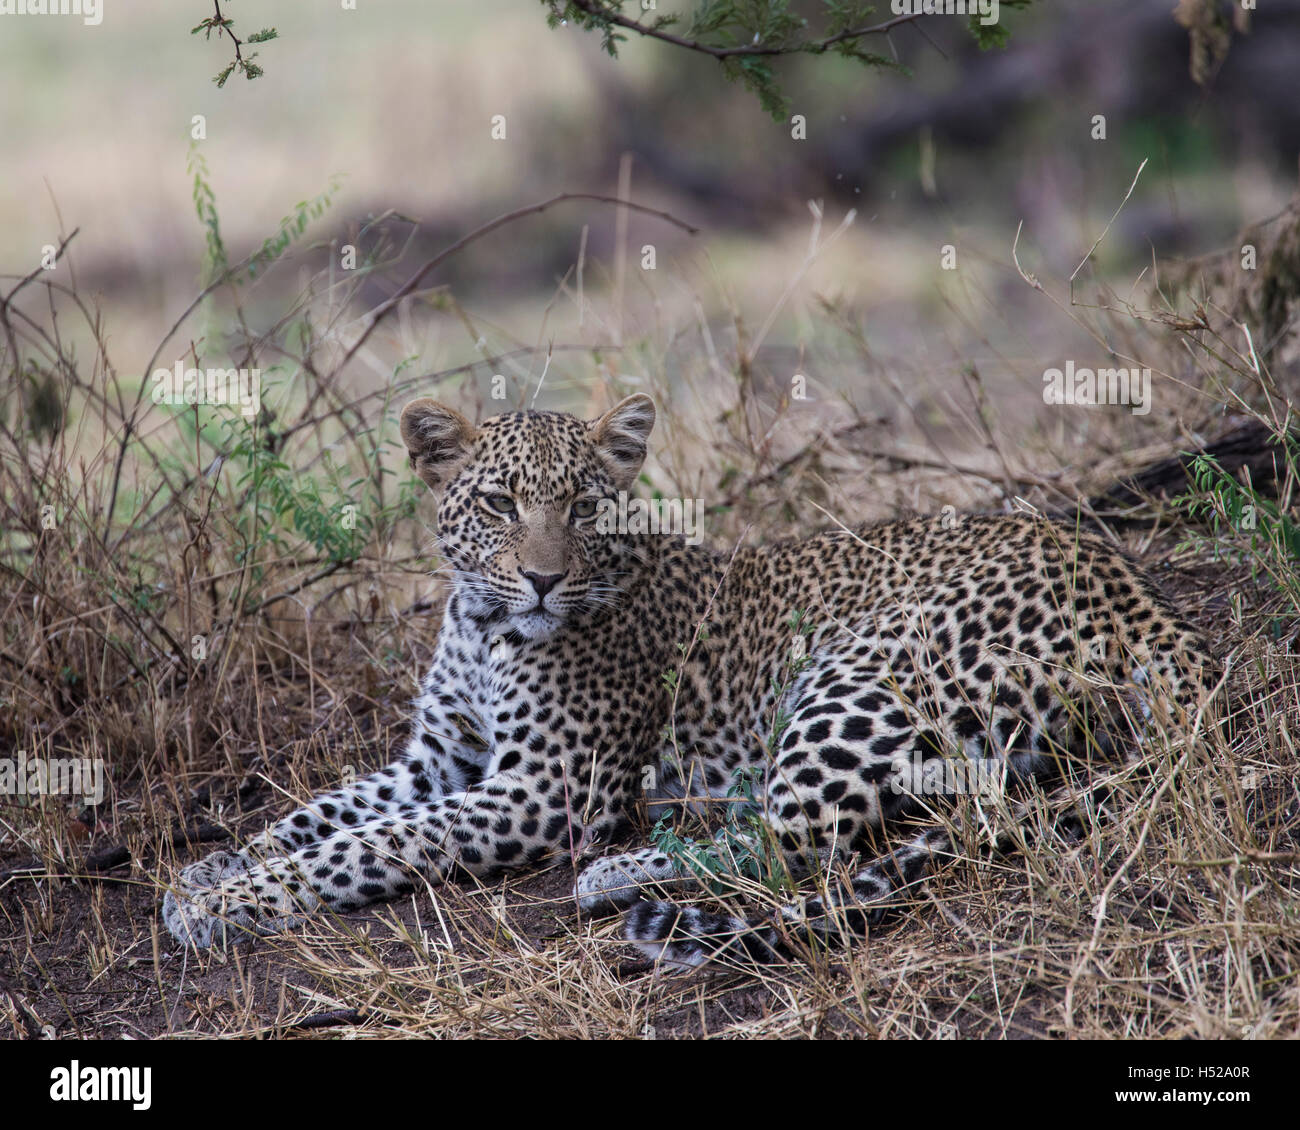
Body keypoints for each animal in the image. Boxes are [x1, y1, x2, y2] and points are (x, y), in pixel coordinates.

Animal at [163, 393, 1215, 968]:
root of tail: (1137, 590)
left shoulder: (546, 790)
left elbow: (369, 843)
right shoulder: (439, 756)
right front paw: (213, 869)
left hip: (854, 670)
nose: (542, 579)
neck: (483, 625)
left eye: (583, 507)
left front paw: (230, 903)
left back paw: (618, 876)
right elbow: (321, 811)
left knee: (798, 844)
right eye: (500, 504)